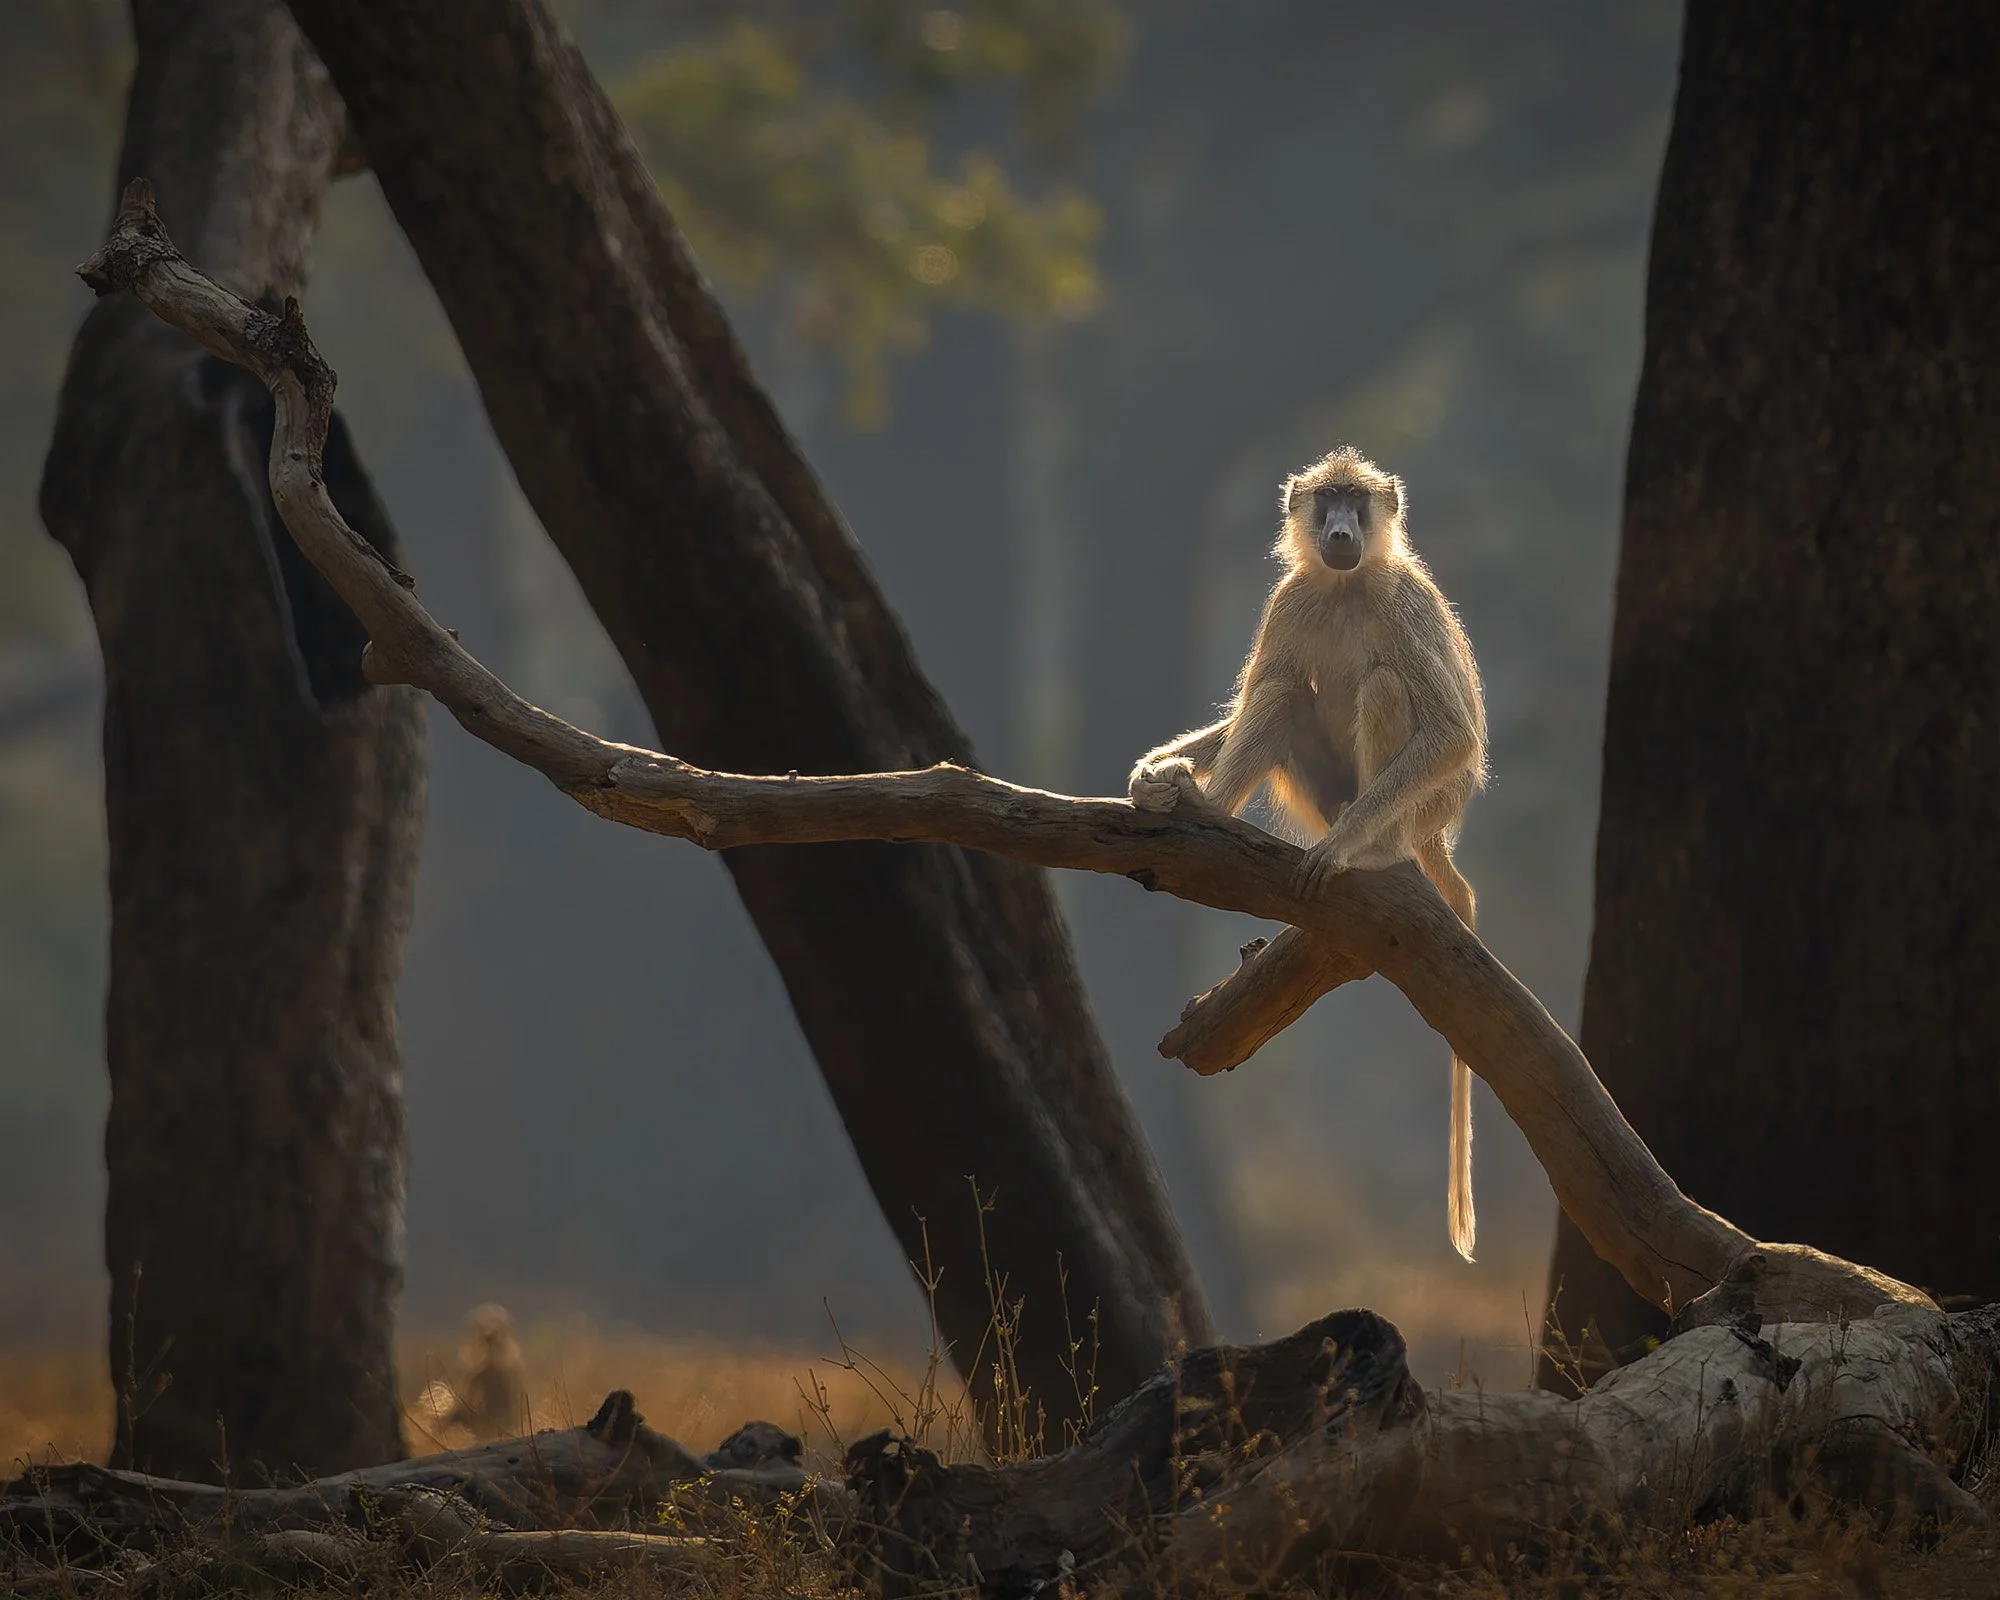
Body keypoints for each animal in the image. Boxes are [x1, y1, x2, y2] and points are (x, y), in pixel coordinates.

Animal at [1129, 445, 1488, 1261]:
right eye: (1326, 501)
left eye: (1357, 498)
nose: (1341, 531)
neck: (1346, 587)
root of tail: (1431, 835)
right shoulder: (1289, 601)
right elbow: (1263, 689)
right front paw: (1154, 773)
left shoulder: (1404, 605)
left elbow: (1453, 733)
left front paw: (1343, 849)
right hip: (1322, 788)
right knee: (1283, 692)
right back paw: (1201, 804)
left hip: (1419, 803)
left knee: (1384, 686)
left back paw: (1367, 846)